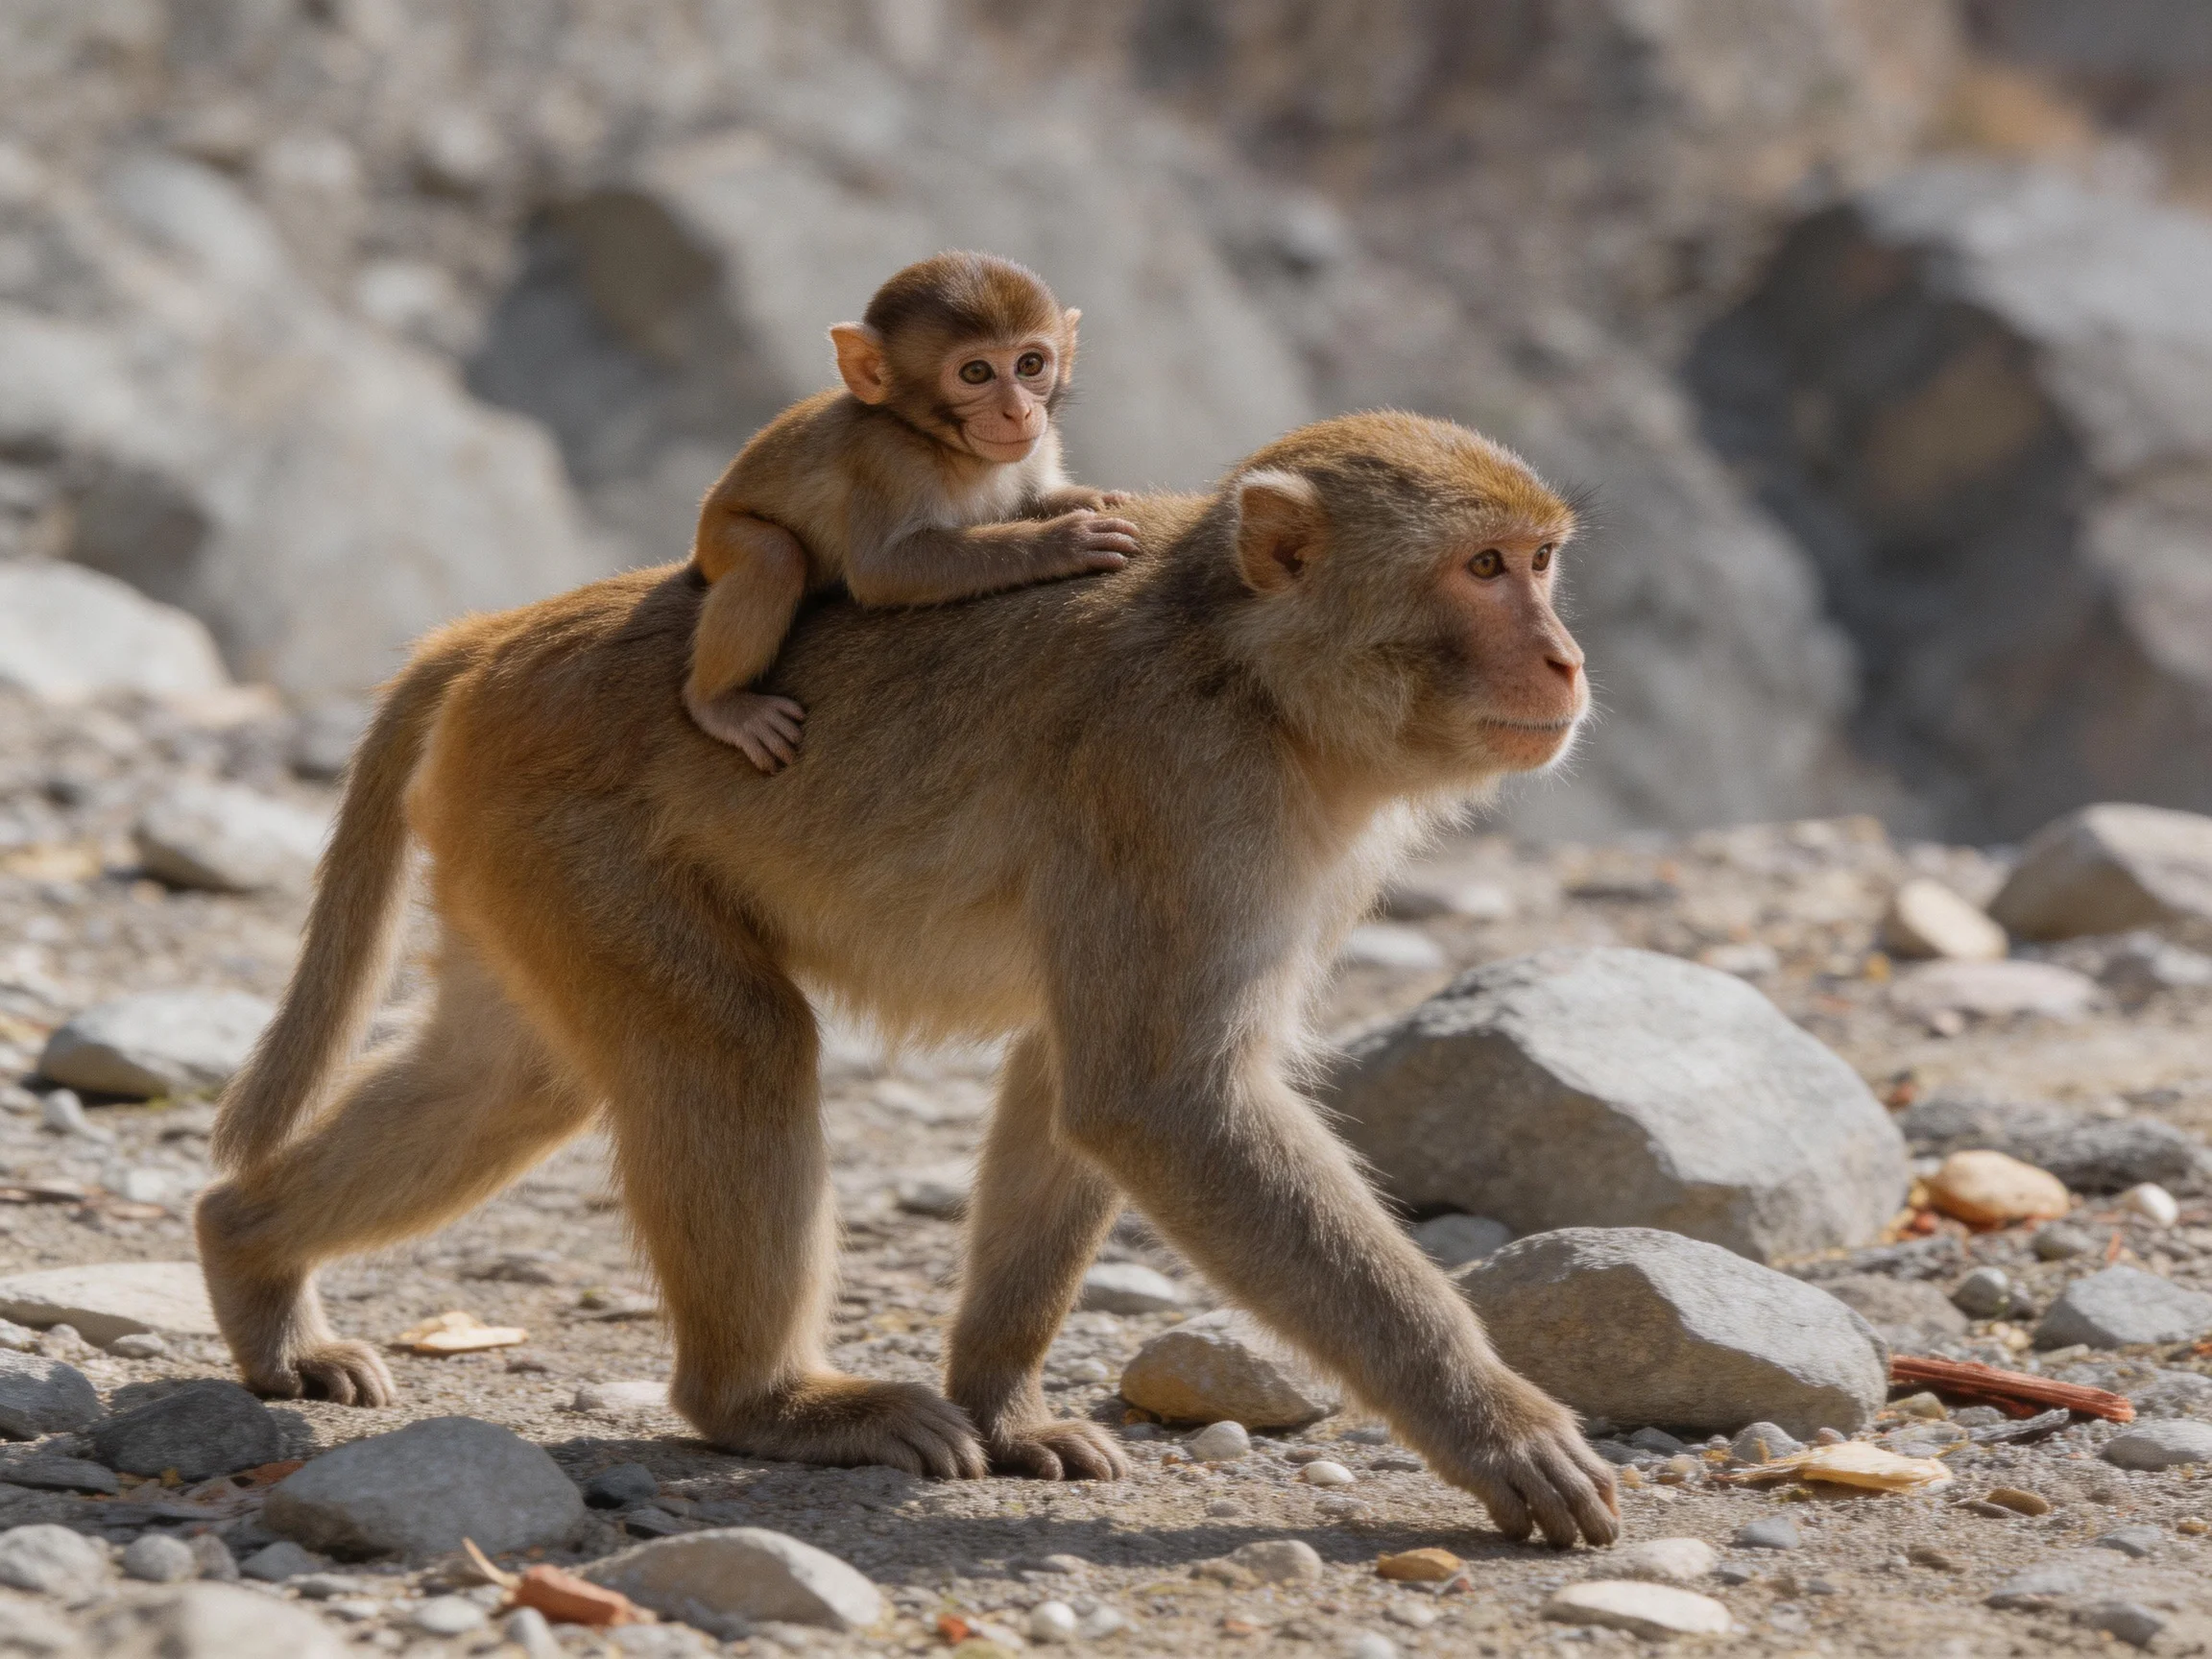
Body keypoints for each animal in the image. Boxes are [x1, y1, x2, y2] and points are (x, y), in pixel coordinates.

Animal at [198, 410, 1618, 1548]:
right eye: (1483, 569)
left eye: (1539, 563)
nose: (1567, 658)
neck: (1255, 677)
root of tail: (507, 630)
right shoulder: (1179, 789)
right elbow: (1159, 1100)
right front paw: (1494, 1428)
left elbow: (1070, 1085)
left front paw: (1005, 1403)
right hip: (569, 840)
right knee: (734, 1045)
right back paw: (763, 1405)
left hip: (511, 852)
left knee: (510, 1080)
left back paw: (248, 1252)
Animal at [685, 250, 1140, 770]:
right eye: (976, 373)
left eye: (1030, 364)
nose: (1021, 411)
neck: (949, 448)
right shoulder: (885, 457)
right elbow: (882, 570)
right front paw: (1065, 540)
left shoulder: (1040, 443)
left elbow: (1034, 497)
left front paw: (1094, 499)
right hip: (719, 537)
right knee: (772, 556)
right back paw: (720, 704)